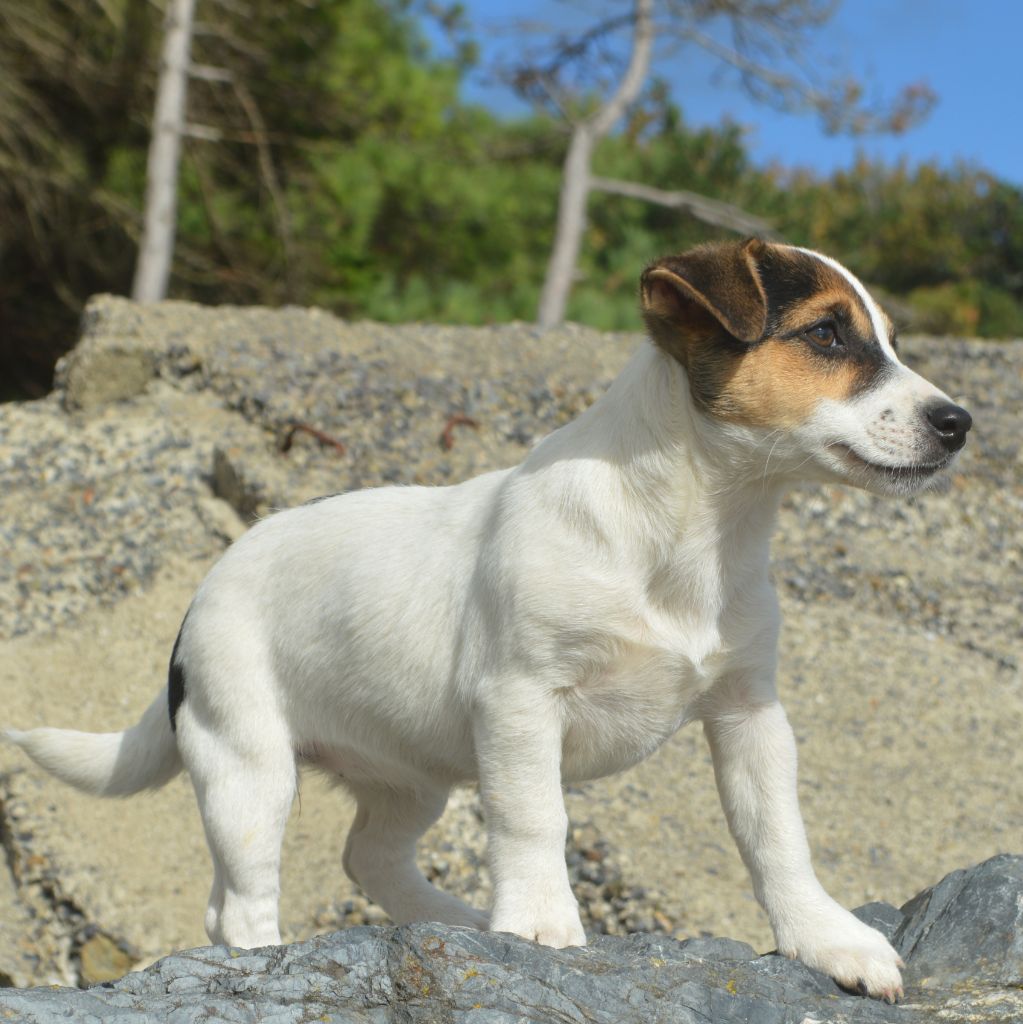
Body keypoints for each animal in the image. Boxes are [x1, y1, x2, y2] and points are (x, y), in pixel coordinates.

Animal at [8, 241, 970, 999]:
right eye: (825, 335)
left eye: (888, 341)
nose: (957, 422)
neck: (692, 527)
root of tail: (197, 601)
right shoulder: (520, 702)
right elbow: (534, 818)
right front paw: (541, 924)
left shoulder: (749, 714)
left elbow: (776, 836)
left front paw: (824, 938)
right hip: (246, 766)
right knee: (236, 906)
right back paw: (278, 958)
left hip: (409, 776)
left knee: (370, 858)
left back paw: (458, 919)